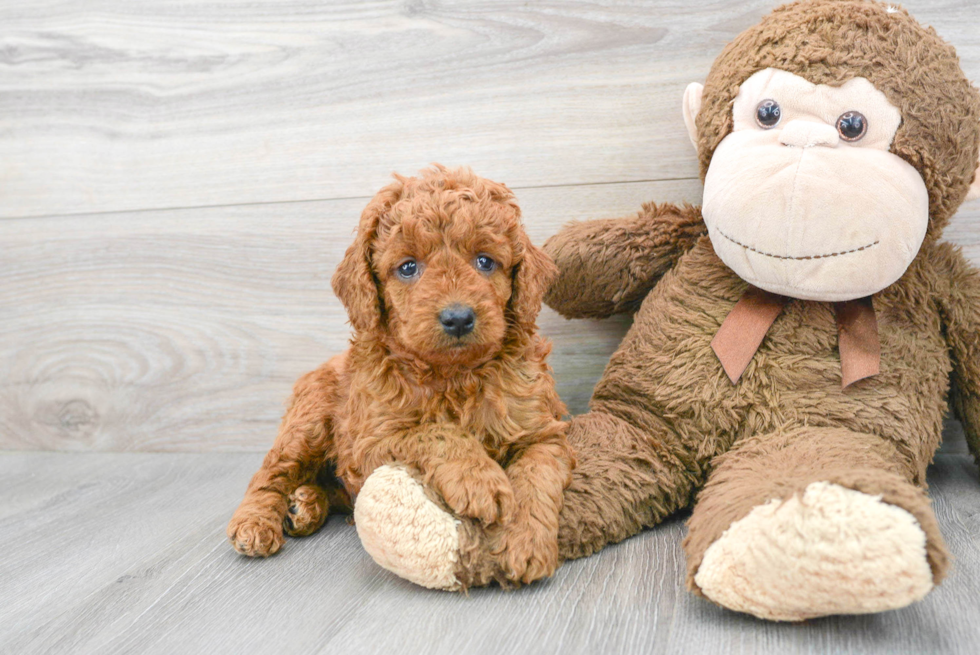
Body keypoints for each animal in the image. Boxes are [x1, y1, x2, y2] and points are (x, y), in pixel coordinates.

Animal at [229, 164, 576, 584]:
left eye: (485, 261)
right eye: (408, 267)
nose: (458, 317)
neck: (453, 375)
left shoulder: (541, 430)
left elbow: (537, 476)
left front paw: (525, 543)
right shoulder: (369, 441)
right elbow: (435, 432)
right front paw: (480, 481)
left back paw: (306, 504)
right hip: (307, 422)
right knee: (270, 473)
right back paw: (256, 522)